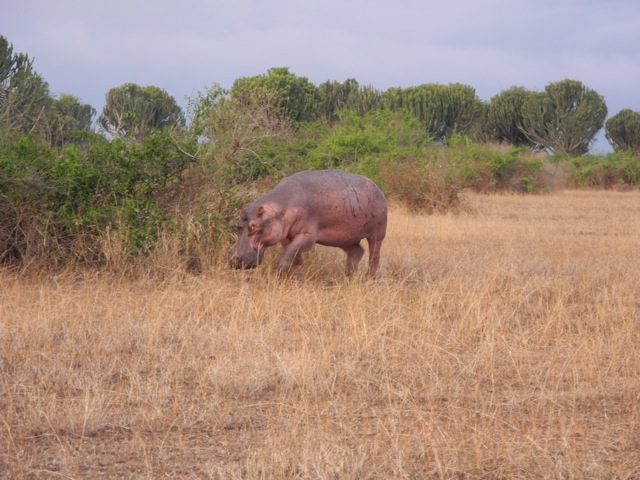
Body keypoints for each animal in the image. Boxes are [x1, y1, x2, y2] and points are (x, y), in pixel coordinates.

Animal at [230, 169, 390, 276]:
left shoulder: (307, 236)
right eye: (237, 225)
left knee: (374, 255)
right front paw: (297, 276)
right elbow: (294, 257)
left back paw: (371, 277)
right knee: (357, 251)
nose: (234, 259)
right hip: (345, 238)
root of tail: (379, 189)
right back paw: (348, 275)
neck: (281, 207)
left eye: (253, 226)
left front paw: (280, 273)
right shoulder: (286, 237)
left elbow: (289, 254)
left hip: (377, 233)